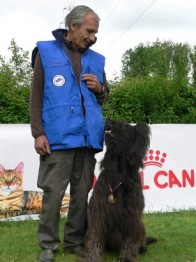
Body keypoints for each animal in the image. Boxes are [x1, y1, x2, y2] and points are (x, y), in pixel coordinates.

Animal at [81, 119, 156, 260]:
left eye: (125, 126)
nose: (108, 120)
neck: (118, 173)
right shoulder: (98, 211)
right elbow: (95, 235)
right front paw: (92, 256)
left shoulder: (132, 214)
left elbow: (130, 240)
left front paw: (127, 257)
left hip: (140, 225)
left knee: (141, 238)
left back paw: (142, 247)